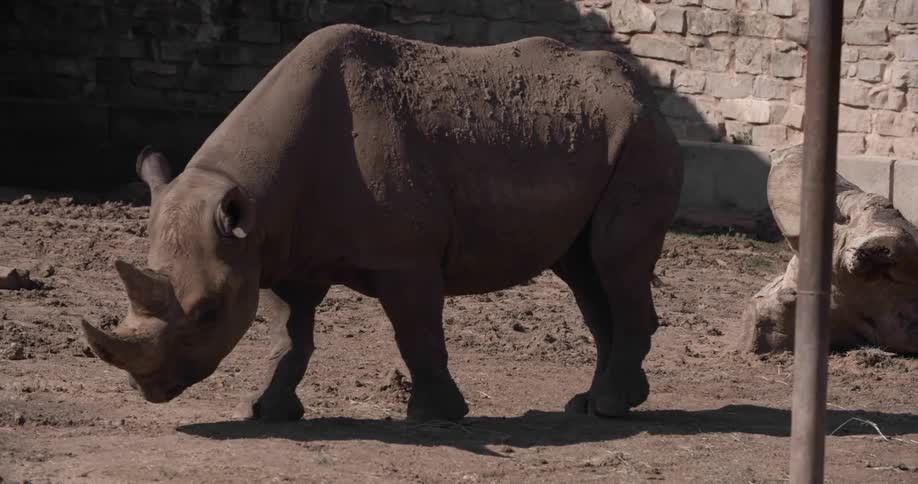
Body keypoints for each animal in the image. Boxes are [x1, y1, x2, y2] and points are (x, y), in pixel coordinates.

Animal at [81, 24, 684, 422]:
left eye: (207, 313)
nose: (150, 390)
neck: (251, 195)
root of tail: (645, 93)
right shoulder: (274, 248)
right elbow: (289, 336)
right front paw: (265, 410)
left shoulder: (404, 259)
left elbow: (416, 332)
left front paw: (437, 416)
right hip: (603, 138)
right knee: (585, 273)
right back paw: (596, 404)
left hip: (640, 140)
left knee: (612, 262)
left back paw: (609, 407)